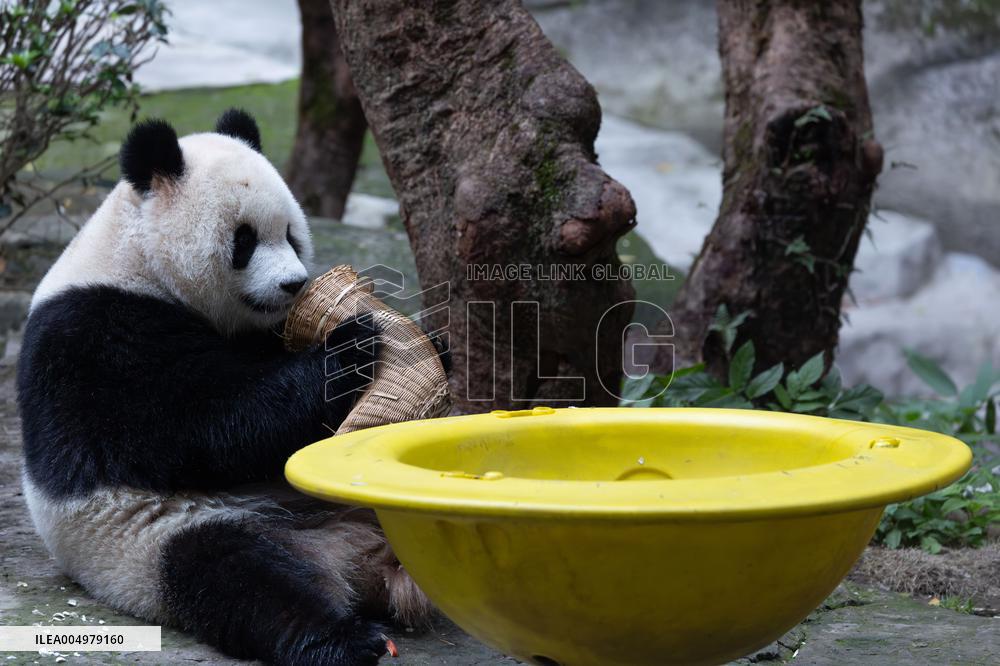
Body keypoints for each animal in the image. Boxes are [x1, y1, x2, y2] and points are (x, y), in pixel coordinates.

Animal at [17, 109, 430, 665]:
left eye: (292, 235)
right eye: (245, 240)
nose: (294, 284)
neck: (137, 259)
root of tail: (353, 558)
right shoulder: (94, 341)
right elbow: (207, 427)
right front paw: (351, 345)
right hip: (154, 541)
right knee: (241, 578)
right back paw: (346, 640)